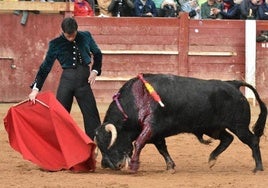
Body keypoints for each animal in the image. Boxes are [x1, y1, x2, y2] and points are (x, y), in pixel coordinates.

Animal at [94, 74, 266, 173]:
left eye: (110, 142)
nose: (106, 165)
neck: (136, 100)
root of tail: (232, 84)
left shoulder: (151, 127)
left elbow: (139, 143)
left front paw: (134, 166)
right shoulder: (156, 134)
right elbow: (162, 148)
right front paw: (170, 166)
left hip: (239, 126)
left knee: (252, 140)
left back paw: (258, 168)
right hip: (213, 128)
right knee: (227, 138)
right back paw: (212, 159)